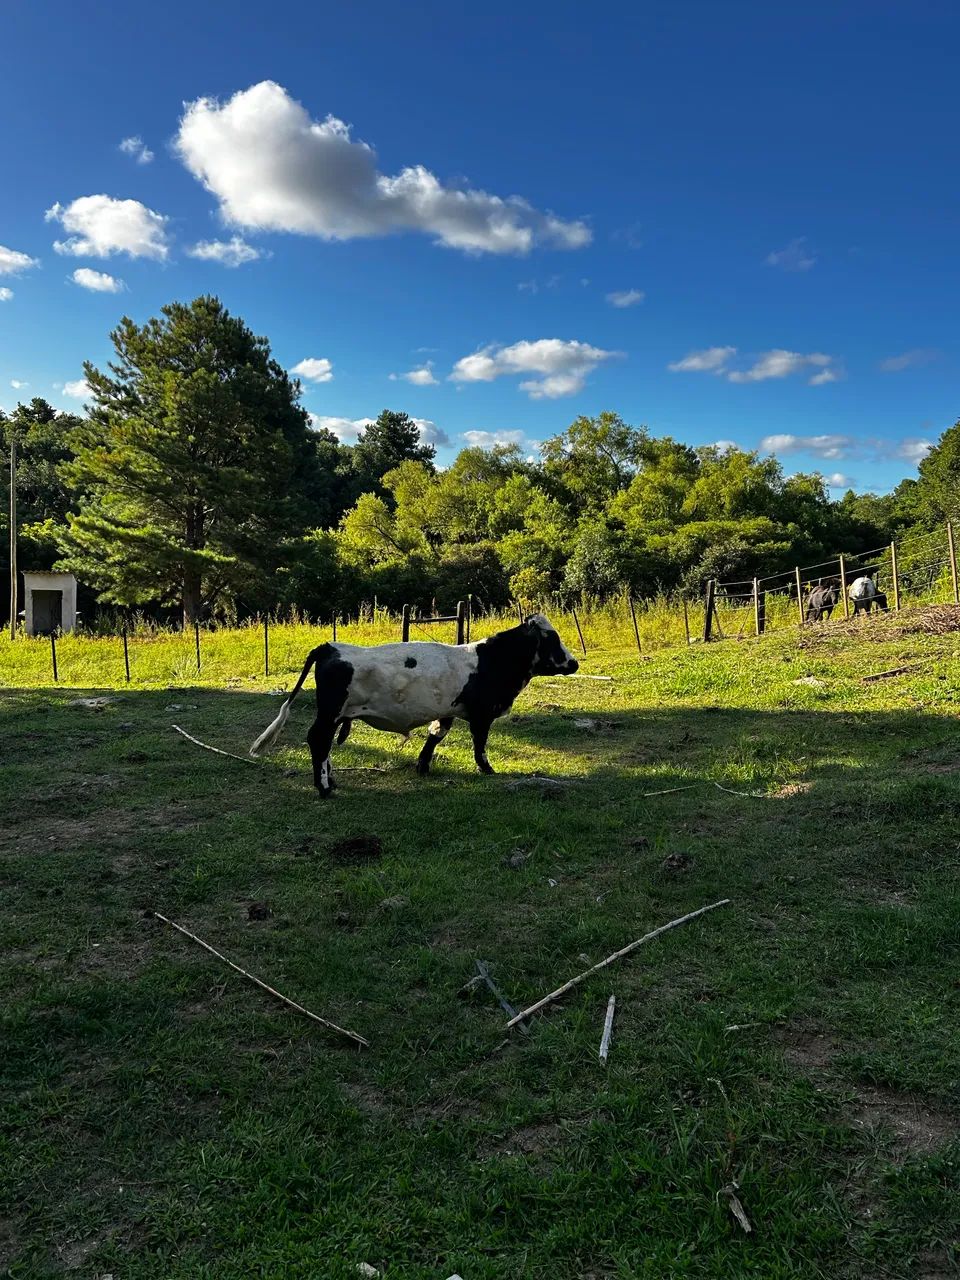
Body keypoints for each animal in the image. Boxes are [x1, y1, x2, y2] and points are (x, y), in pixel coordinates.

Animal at [249, 614, 579, 795]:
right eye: (553, 639)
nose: (574, 663)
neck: (492, 661)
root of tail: (330, 646)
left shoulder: (449, 710)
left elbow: (435, 735)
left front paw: (422, 765)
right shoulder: (482, 713)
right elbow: (480, 744)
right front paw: (487, 769)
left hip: (335, 715)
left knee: (325, 744)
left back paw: (331, 781)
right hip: (330, 712)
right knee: (318, 740)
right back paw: (324, 788)